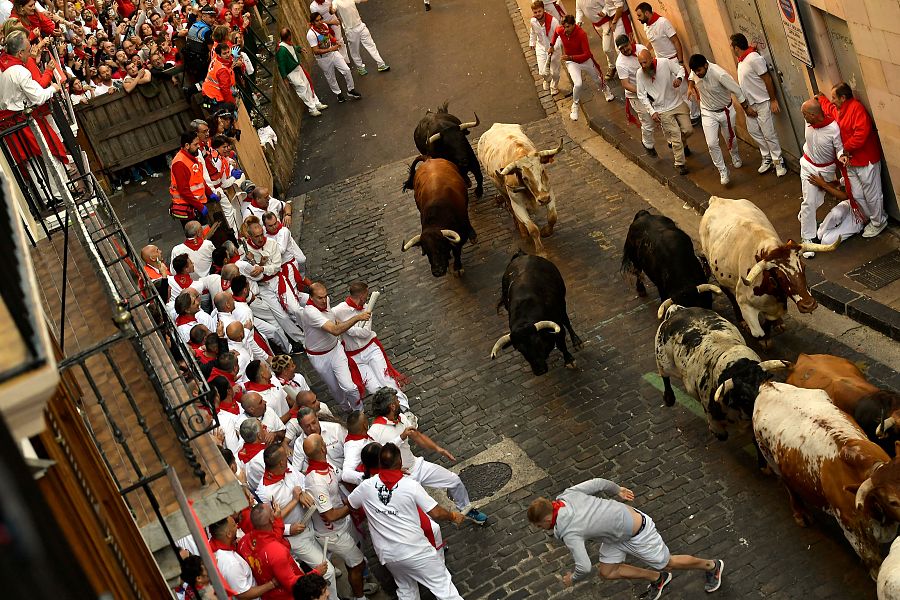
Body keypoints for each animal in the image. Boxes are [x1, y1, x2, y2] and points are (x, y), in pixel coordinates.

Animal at [474, 123, 560, 254]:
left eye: (542, 171)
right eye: (525, 178)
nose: (543, 199)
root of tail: (496, 125)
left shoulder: (549, 192)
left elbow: (552, 217)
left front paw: (546, 232)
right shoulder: (517, 204)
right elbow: (533, 229)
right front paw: (540, 251)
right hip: (502, 192)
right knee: (510, 208)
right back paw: (521, 229)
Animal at [704, 197, 836, 338]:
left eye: (804, 267)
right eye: (779, 276)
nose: (809, 305)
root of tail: (717, 199)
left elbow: (770, 321)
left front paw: (777, 323)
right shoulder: (746, 306)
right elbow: (761, 334)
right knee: (727, 292)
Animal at [752, 382, 900, 580]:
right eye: (892, 501)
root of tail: (768, 385)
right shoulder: (853, 531)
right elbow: (873, 561)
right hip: (769, 457)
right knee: (789, 487)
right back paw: (801, 514)